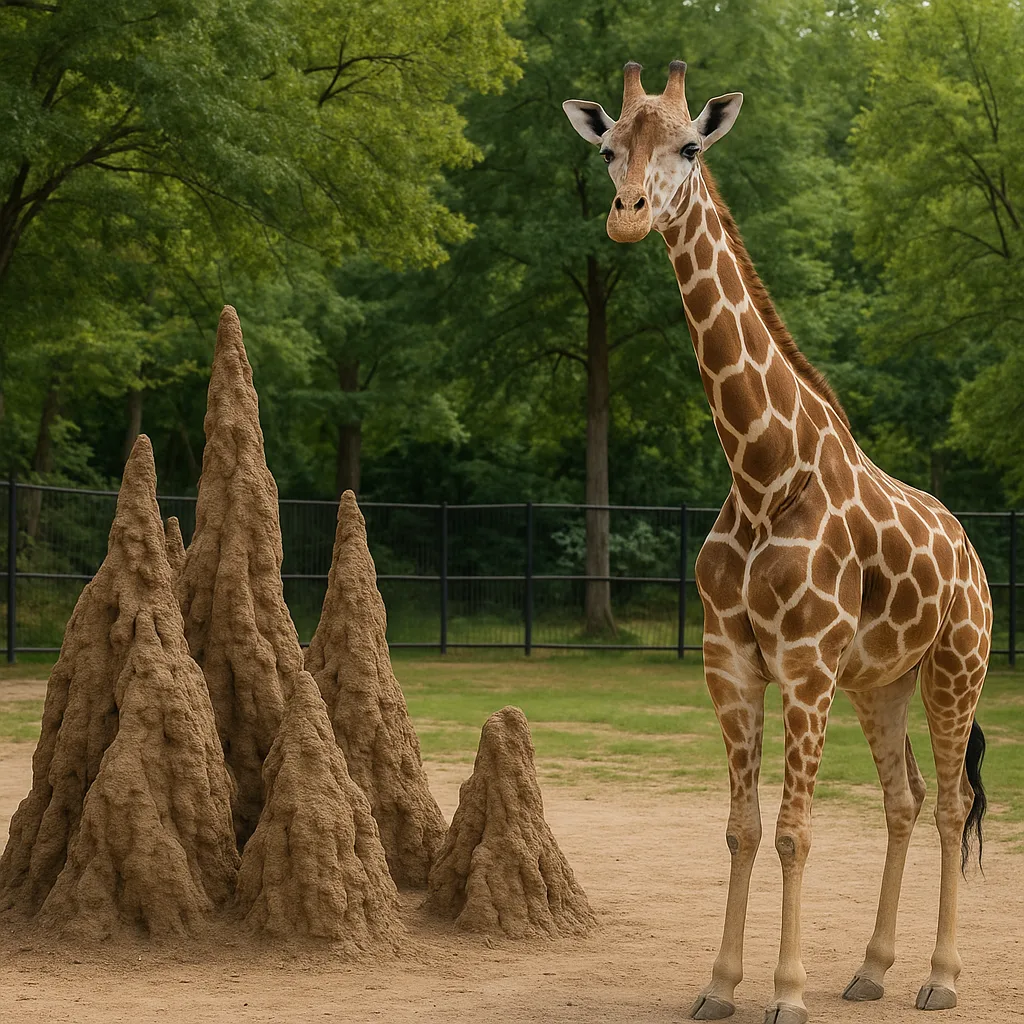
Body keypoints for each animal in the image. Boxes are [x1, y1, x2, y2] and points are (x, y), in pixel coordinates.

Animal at [563, 62, 992, 1024]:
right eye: (609, 150)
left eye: (690, 146)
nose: (630, 213)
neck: (764, 471)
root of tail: (974, 554)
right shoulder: (731, 662)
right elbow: (742, 827)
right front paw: (720, 984)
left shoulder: (804, 663)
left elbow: (796, 831)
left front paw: (786, 993)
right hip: (882, 682)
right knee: (904, 798)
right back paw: (871, 969)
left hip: (958, 666)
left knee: (951, 804)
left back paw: (940, 978)